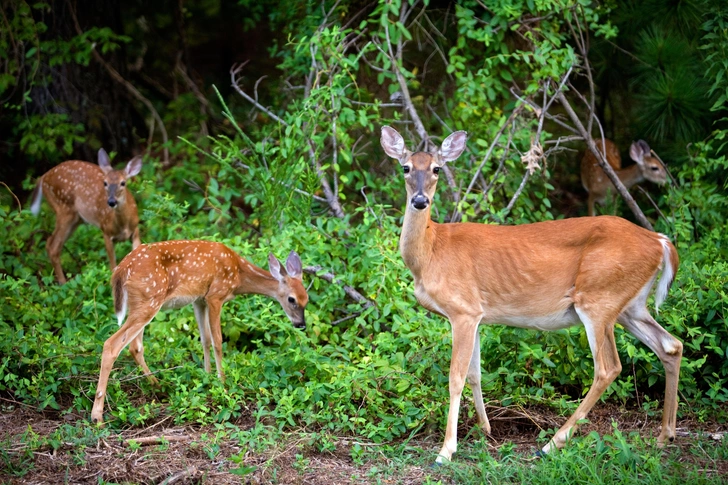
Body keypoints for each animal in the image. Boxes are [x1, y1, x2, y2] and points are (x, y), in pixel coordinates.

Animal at [30, 148, 144, 284]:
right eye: (105, 183)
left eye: (123, 183)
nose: (111, 202)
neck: (123, 226)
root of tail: (43, 177)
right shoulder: (105, 231)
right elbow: (113, 266)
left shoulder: (135, 230)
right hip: (64, 208)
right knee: (52, 245)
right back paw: (63, 283)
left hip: (76, 219)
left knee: (52, 244)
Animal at [90, 241, 308, 424]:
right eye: (292, 299)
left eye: (306, 300)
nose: (301, 325)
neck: (239, 274)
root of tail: (120, 270)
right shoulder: (215, 295)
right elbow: (218, 341)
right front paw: (222, 383)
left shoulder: (199, 299)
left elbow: (205, 339)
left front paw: (207, 377)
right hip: (149, 299)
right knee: (112, 344)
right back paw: (97, 416)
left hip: (142, 303)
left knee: (135, 347)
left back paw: (158, 386)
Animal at [382, 126, 684, 464]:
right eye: (405, 167)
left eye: (436, 169)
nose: (420, 200)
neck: (431, 252)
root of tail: (660, 241)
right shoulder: (477, 315)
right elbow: (475, 374)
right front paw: (486, 430)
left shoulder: (462, 310)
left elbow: (455, 378)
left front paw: (446, 450)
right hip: (630, 306)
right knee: (671, 345)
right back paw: (665, 436)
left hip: (599, 299)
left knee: (608, 368)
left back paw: (552, 443)